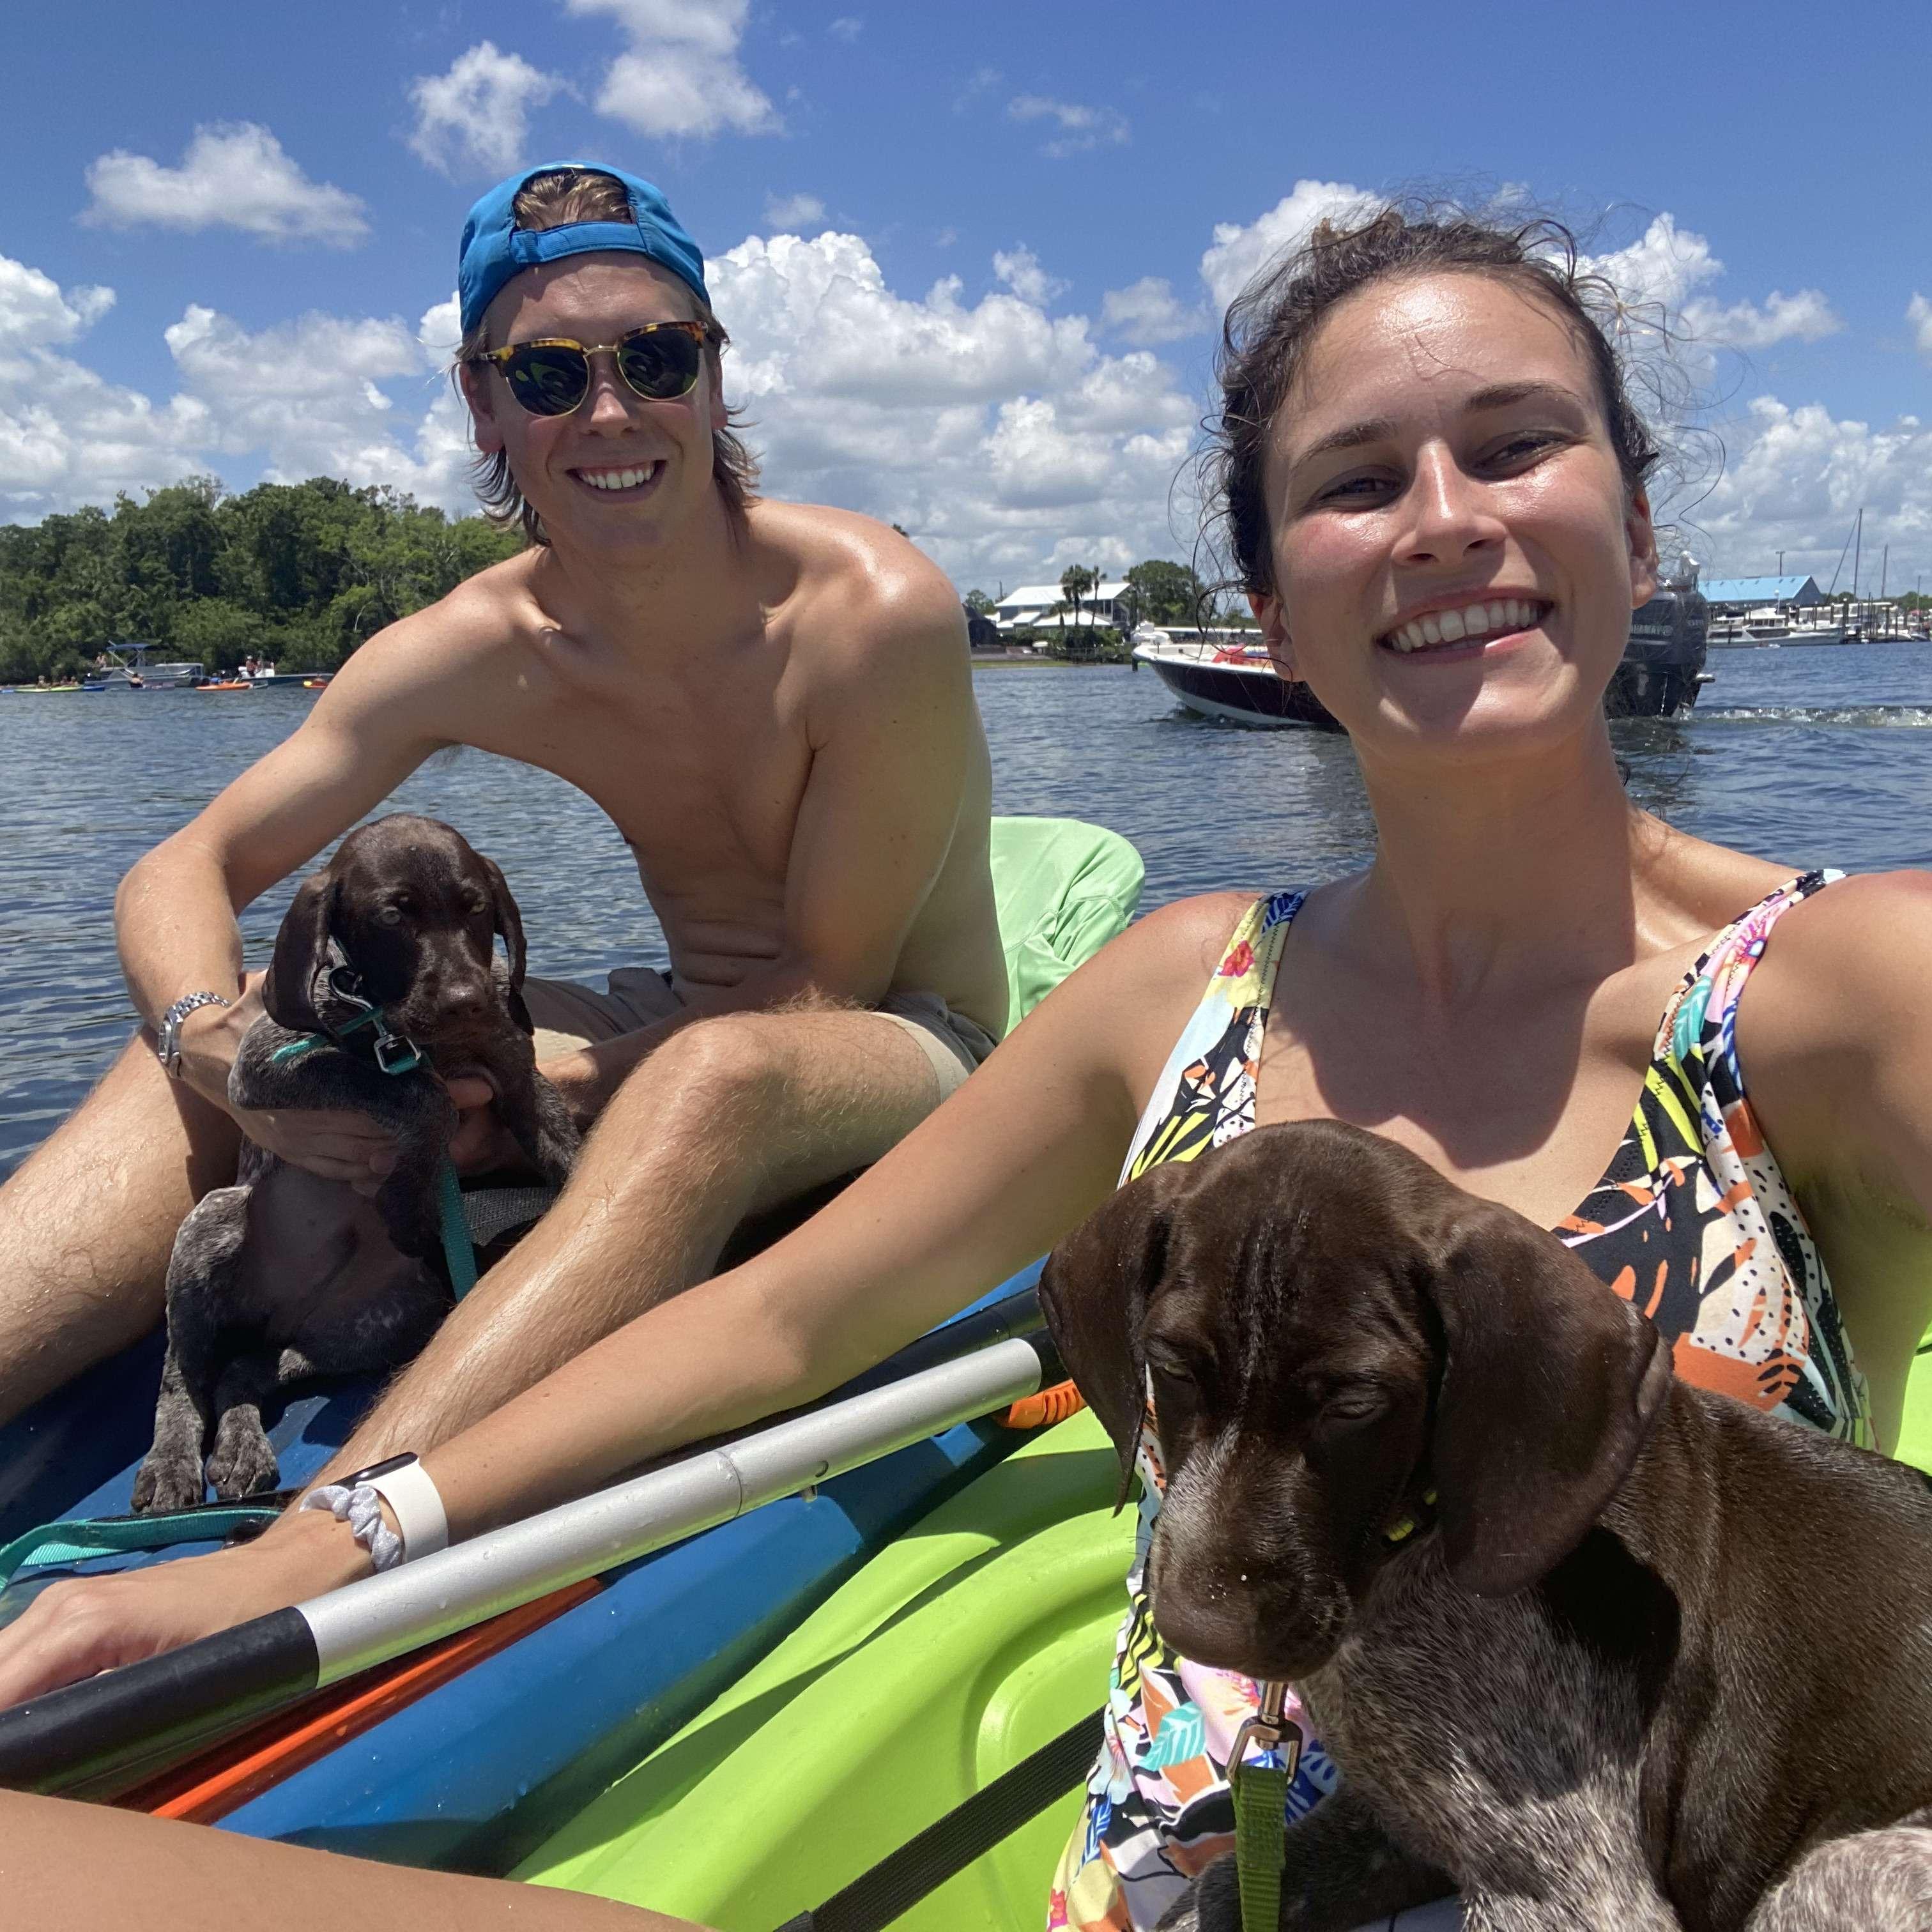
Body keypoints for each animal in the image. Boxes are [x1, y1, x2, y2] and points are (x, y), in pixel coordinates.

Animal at [133, 808, 576, 1514]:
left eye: (477, 907)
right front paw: (404, 1198)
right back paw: (172, 1463)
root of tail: (278, 1314)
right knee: (182, 1380)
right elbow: (422, 1095)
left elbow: (567, 1150)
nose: (466, 998)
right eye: (392, 916)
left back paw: (241, 1448)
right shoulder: (262, 1069)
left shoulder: (520, 1084)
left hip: (374, 1324)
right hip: (212, 1222)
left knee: (243, 1372)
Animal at [1043, 1120, 1932, 1932]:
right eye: (1170, 1363)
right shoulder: (1400, 1820)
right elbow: (1223, 1890)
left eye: (1355, 1403)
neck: (1415, 1547)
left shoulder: (1569, 1892)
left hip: (1851, 1865)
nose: (1202, 1631)